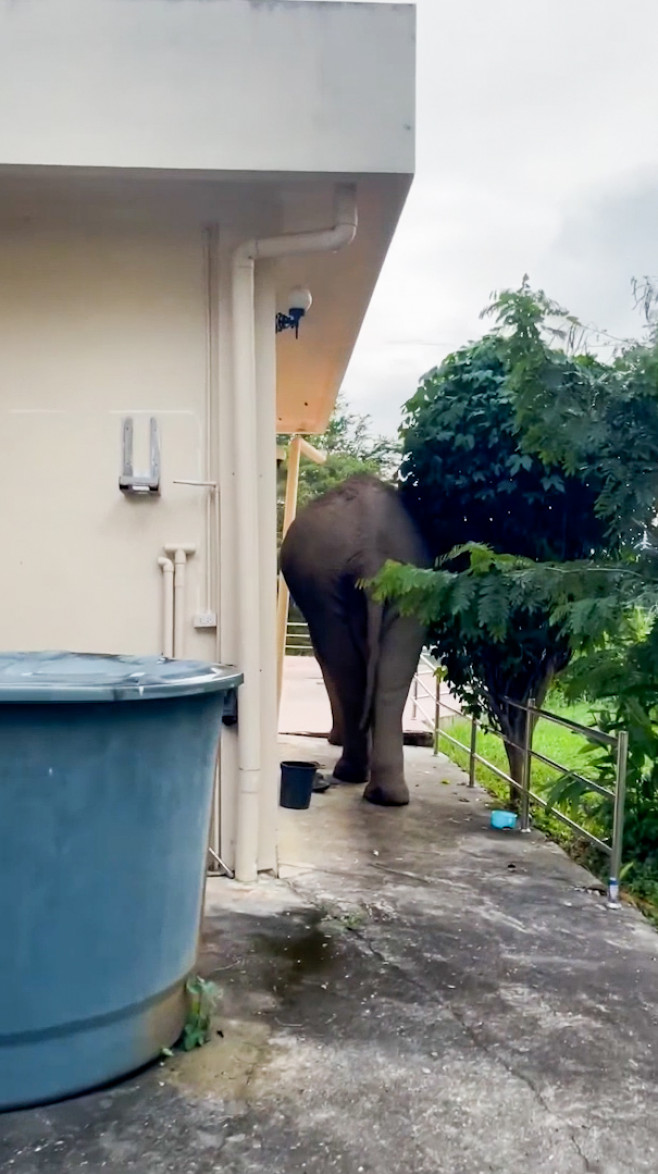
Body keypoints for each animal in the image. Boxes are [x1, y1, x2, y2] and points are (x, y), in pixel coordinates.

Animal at [278, 471, 430, 803]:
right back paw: (385, 795)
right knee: (389, 670)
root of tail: (372, 556)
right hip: (411, 581)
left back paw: (355, 776)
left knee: (346, 666)